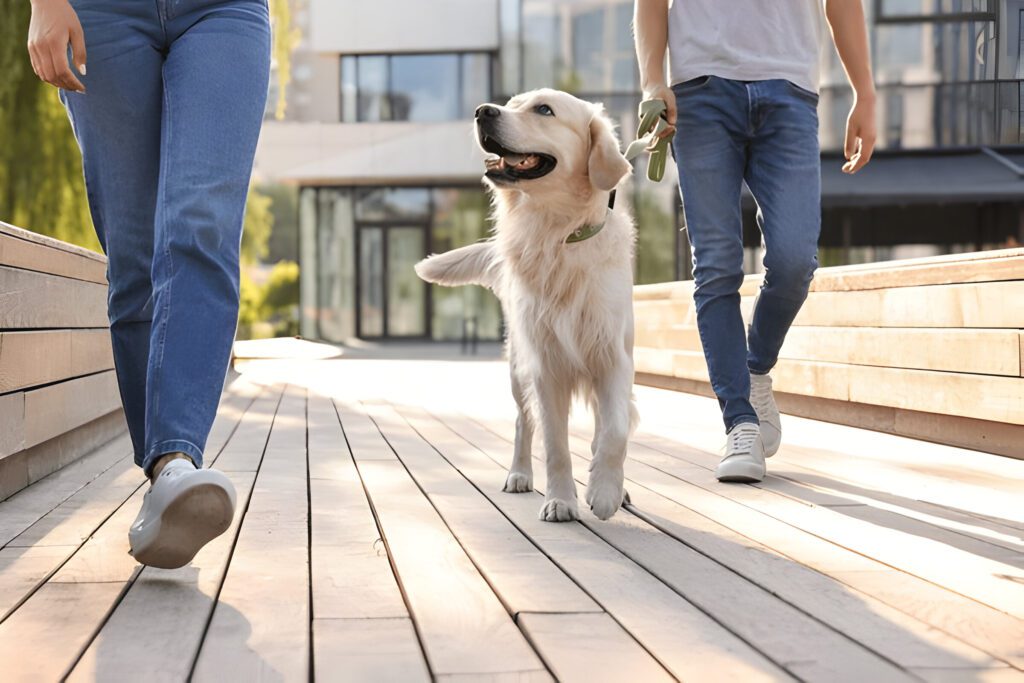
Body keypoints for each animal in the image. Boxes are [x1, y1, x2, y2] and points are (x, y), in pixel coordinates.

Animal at [411, 88, 634, 520]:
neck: (556, 235)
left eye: (544, 110)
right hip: (518, 366)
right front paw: (561, 500)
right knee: (522, 422)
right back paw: (519, 475)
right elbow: (555, 444)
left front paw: (604, 490)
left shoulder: (613, 356)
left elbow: (614, 429)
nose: (483, 111)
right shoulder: (545, 364)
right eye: (511, 103)